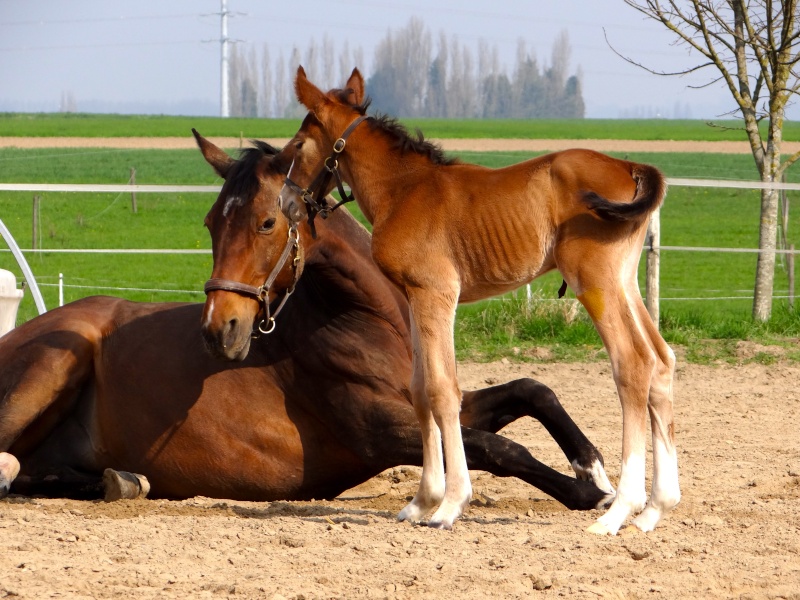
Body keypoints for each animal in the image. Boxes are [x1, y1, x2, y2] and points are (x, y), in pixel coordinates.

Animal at [0, 131, 612, 510]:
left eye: (267, 222)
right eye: (210, 222)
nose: (219, 331)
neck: (369, 320)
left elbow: (533, 390)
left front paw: (594, 466)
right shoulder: (377, 433)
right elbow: (501, 450)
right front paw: (591, 495)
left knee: (31, 469)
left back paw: (119, 480)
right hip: (57, 362)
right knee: (7, 463)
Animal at [278, 69, 680, 536]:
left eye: (298, 145)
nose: (286, 202)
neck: (404, 188)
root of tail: (630, 166)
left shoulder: (436, 293)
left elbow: (443, 390)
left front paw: (450, 504)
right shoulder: (415, 297)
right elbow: (420, 390)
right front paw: (421, 501)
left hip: (595, 282)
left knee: (633, 364)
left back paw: (618, 511)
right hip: (624, 283)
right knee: (662, 360)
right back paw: (654, 509)